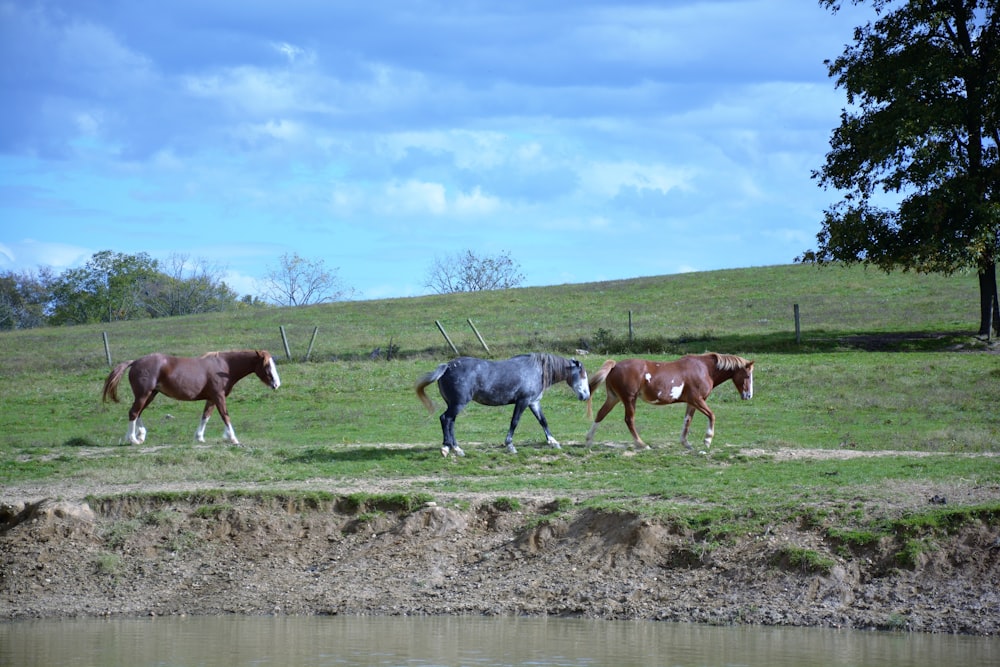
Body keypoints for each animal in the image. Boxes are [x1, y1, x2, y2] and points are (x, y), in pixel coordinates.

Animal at [101, 352, 280, 446]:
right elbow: (225, 416)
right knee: (133, 412)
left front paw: (200, 437)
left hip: (150, 395)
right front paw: (233, 439)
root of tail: (135, 362)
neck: (224, 367)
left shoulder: (211, 399)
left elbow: (205, 417)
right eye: (266, 366)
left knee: (138, 413)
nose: (277, 384)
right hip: (144, 394)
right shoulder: (219, 396)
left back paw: (140, 436)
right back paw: (133, 439)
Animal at [416, 354, 588, 460]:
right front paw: (510, 445)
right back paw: (446, 448)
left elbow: (543, 421)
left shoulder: (534, 402)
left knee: (450, 422)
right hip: (458, 403)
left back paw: (457, 449)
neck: (537, 371)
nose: (585, 396)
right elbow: (514, 422)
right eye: (582, 375)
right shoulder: (523, 401)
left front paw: (553, 442)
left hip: (454, 404)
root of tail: (447, 367)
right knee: (445, 419)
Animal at [584, 352, 752, 452]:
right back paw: (642, 444)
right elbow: (712, 415)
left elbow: (687, 420)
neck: (704, 368)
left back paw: (588, 440)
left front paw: (686, 443)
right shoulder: (697, 399)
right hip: (629, 399)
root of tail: (615, 366)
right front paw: (707, 441)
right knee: (629, 420)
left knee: (600, 414)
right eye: (747, 375)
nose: (748, 395)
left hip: (614, 398)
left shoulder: (692, 402)